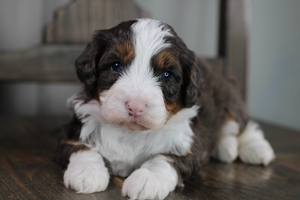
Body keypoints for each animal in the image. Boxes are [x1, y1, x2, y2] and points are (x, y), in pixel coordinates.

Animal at [55, 18, 276, 198]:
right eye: (116, 66)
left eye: (166, 75)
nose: (135, 107)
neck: (132, 133)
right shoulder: (76, 128)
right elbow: (82, 148)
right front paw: (87, 172)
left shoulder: (187, 144)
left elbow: (164, 158)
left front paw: (147, 179)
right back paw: (225, 148)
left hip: (229, 101)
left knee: (245, 126)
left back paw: (256, 148)